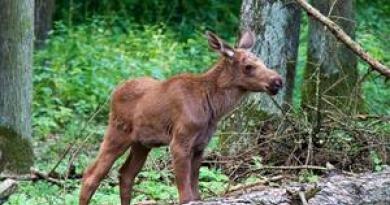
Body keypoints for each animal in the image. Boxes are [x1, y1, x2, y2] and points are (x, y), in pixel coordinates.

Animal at [79, 30, 282, 205]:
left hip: (142, 143)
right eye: (248, 66)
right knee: (91, 174)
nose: (278, 81)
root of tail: (114, 93)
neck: (213, 108)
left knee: (126, 174)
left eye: (263, 62)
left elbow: (196, 193)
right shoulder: (179, 142)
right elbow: (185, 196)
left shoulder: (200, 145)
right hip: (117, 132)